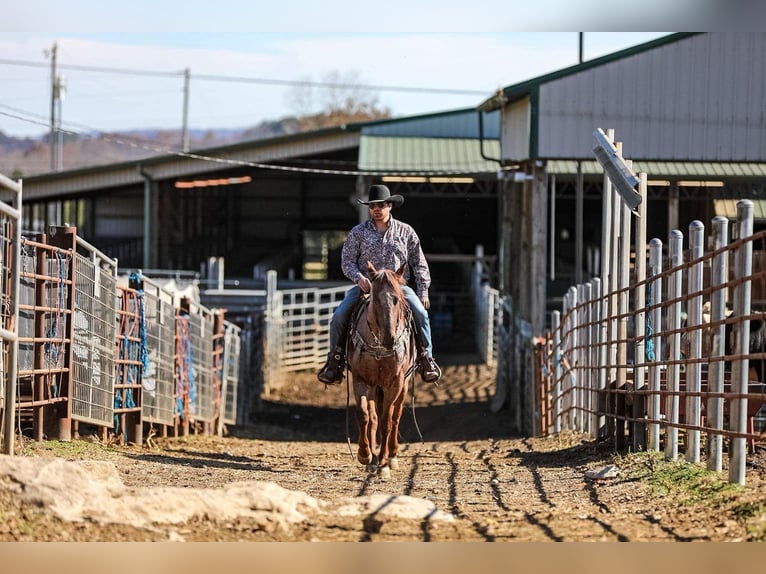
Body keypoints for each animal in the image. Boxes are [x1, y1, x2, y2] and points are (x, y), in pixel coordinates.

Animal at [350, 264, 420, 480]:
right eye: (375, 299)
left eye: (397, 298)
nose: (390, 339)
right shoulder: (361, 380)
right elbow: (364, 415)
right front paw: (365, 455)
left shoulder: (394, 383)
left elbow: (386, 422)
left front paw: (383, 464)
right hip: (375, 386)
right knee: (373, 417)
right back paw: (372, 459)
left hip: (403, 385)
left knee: (395, 417)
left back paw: (392, 456)